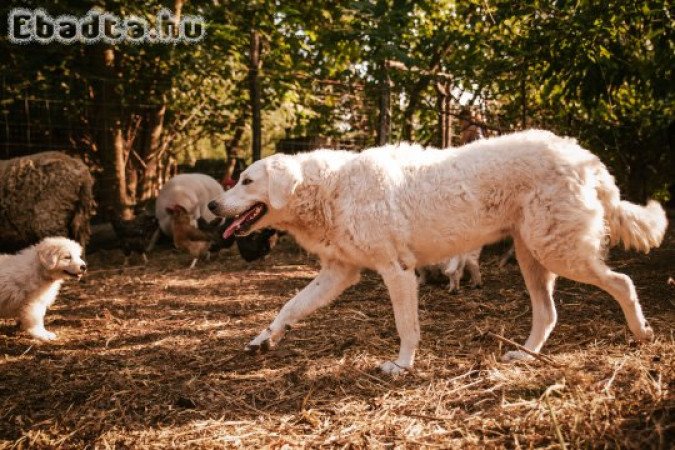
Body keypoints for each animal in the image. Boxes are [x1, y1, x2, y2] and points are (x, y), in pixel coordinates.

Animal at [209, 131, 668, 376]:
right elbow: (289, 307)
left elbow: (406, 327)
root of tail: (584, 155)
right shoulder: (340, 273)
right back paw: (524, 355)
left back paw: (642, 333)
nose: (213, 207)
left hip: (559, 252)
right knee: (549, 314)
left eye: (246, 181)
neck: (330, 189)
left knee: (623, 282)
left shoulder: (397, 271)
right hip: (533, 257)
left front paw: (401, 366)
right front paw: (263, 339)